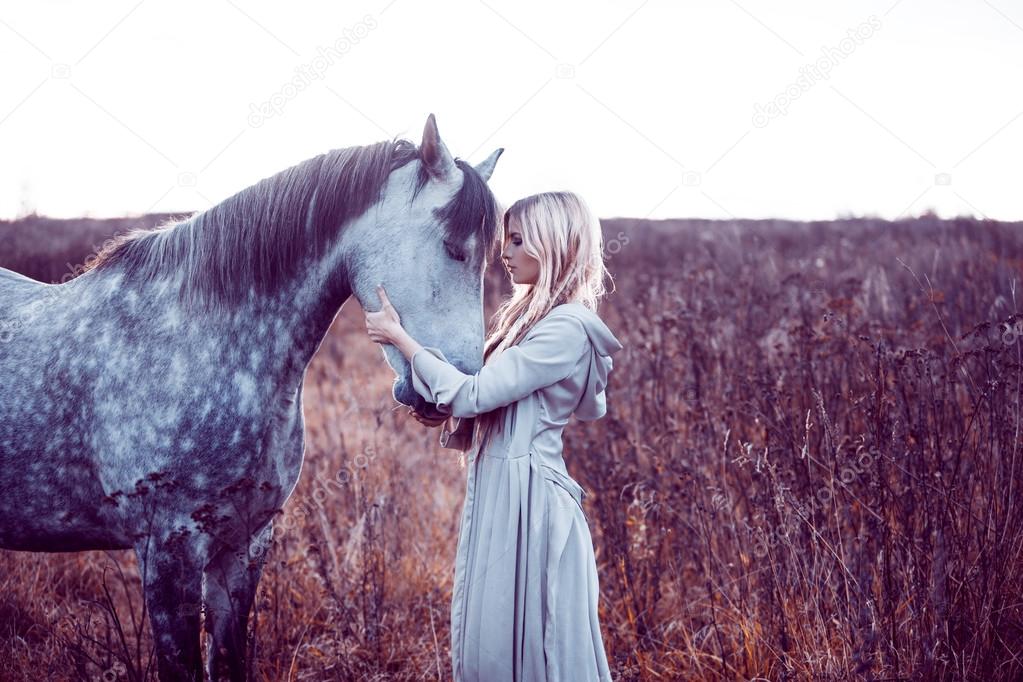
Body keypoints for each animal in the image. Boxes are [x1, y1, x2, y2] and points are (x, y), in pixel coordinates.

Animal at [0, 114, 503, 678]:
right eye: (453, 247)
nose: (452, 392)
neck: (198, 341)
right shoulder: (166, 553)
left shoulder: (244, 546)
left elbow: (229, 657)